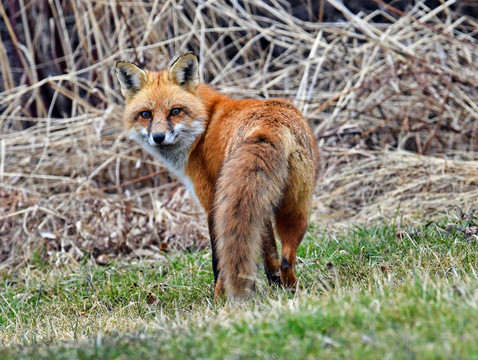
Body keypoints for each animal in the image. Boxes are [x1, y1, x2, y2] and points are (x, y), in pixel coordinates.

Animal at [115, 53, 318, 300]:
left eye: (175, 111)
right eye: (146, 114)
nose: (159, 137)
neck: (205, 124)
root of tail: (270, 124)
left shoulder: (211, 202)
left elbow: (216, 259)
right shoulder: (259, 205)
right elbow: (268, 251)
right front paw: (274, 284)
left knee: (227, 259)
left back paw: (221, 298)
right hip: (293, 207)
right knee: (287, 259)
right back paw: (292, 290)